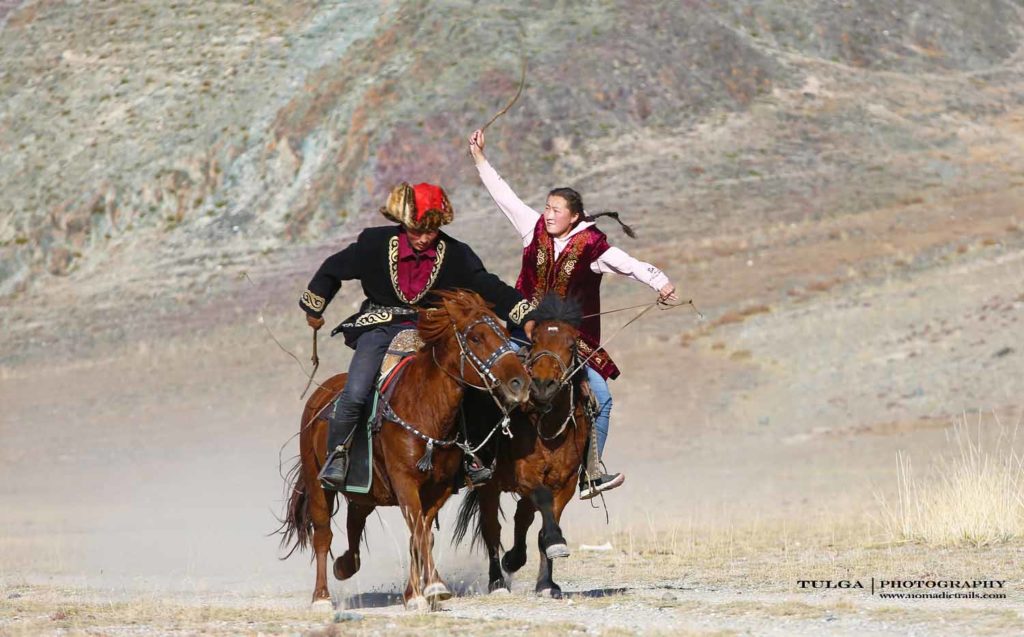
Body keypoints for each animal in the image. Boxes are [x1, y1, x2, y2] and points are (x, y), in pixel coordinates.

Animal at [278, 292, 528, 610]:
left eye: (506, 335)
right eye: (476, 337)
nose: (520, 383)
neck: (425, 408)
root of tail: (319, 396)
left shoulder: (438, 489)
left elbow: (420, 536)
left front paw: (416, 593)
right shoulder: (405, 482)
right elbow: (419, 531)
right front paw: (434, 587)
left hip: (364, 489)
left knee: (355, 522)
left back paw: (345, 565)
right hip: (318, 482)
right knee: (323, 534)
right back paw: (321, 597)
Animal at [456, 294, 593, 598]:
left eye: (572, 344)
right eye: (536, 340)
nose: (542, 386)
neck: (548, 426)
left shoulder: (565, 483)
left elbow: (543, 526)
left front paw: (546, 583)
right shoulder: (525, 476)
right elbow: (541, 503)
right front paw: (555, 541)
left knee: (522, 515)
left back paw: (514, 559)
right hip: (489, 485)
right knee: (492, 529)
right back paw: (497, 580)